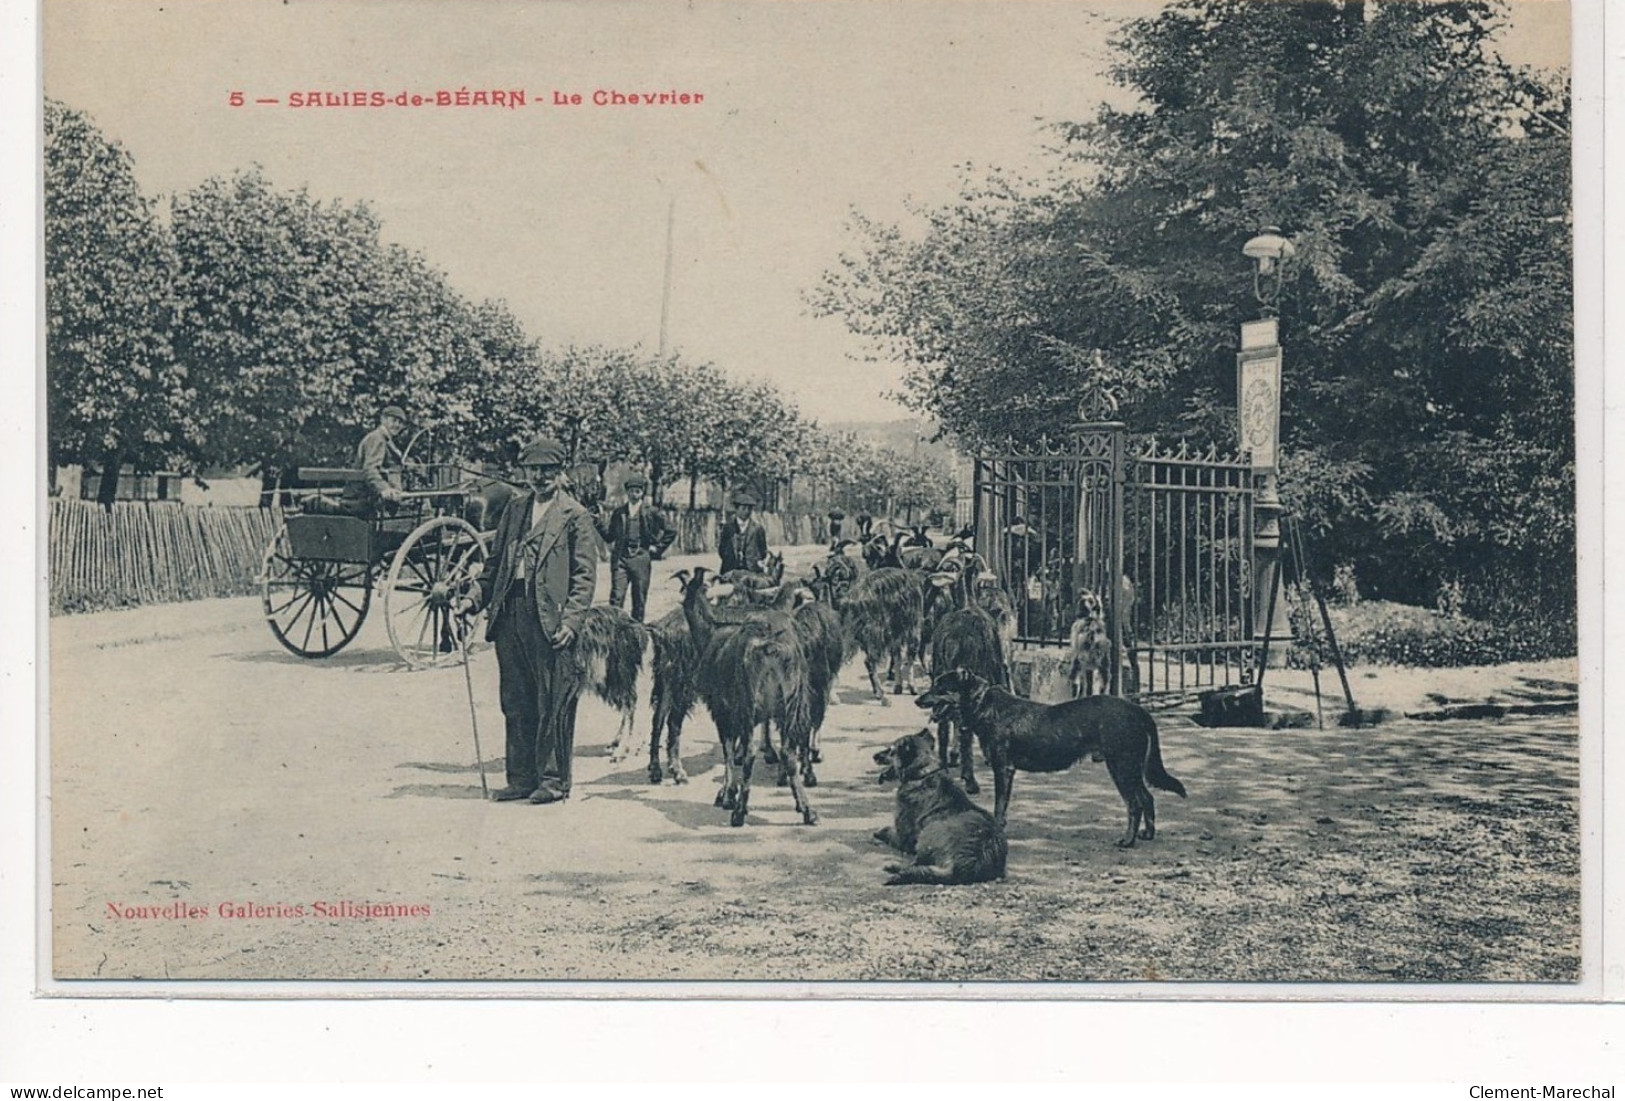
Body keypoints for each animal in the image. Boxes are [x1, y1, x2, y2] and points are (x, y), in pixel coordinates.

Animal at [679, 568, 819, 828]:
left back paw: (739, 813)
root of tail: (770, 645)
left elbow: (728, 750)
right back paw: (807, 810)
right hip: (791, 703)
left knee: (750, 754)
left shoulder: (722, 709)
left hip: (748, 702)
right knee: (788, 751)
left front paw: (726, 795)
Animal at [877, 734, 1001, 889]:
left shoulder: (903, 839)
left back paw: (895, 868)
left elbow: (889, 833)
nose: (875, 756)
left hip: (928, 832)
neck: (922, 773)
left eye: (891, 751)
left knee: (917, 864)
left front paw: (881, 832)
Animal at [923, 669, 1189, 850]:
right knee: (1147, 797)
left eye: (940, 687)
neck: (983, 704)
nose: (918, 699)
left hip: (1121, 767)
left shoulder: (1003, 769)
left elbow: (999, 806)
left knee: (1135, 803)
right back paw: (1148, 834)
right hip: (1131, 768)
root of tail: (1137, 710)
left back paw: (1128, 840)